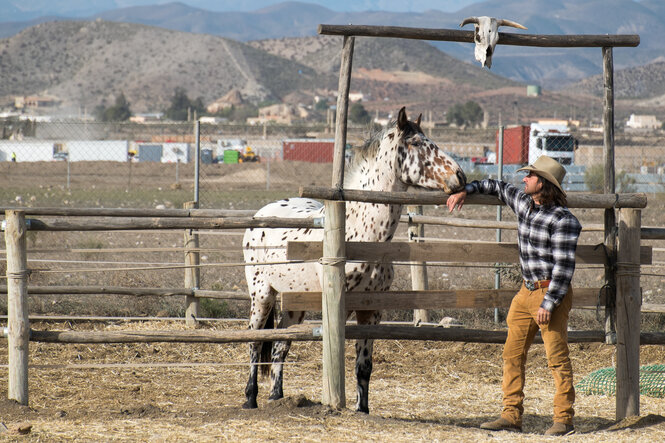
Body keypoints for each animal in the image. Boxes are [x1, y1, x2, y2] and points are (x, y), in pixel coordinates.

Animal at [241, 106, 464, 412]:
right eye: (416, 142)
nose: (460, 176)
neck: (363, 235)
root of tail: (259, 215)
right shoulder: (340, 309)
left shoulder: (371, 312)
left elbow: (364, 366)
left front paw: (363, 410)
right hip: (262, 295)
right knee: (254, 342)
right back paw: (251, 398)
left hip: (295, 303)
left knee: (279, 346)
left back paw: (277, 397)